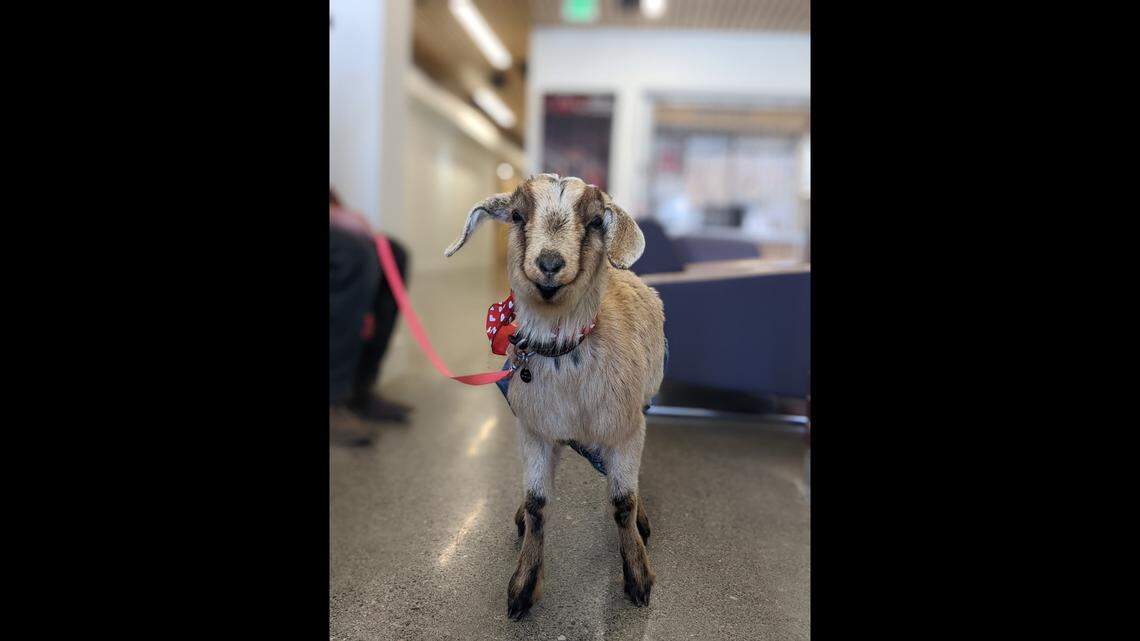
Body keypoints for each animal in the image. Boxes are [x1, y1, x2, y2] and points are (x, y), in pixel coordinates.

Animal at [445, 173, 666, 619]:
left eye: (596, 221)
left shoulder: (626, 427)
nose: (549, 264)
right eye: (516, 215)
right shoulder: (534, 430)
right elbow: (536, 502)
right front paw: (524, 586)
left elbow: (623, 499)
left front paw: (638, 577)